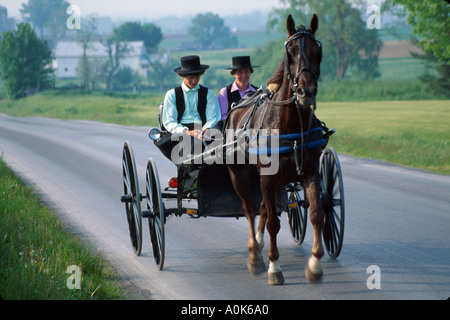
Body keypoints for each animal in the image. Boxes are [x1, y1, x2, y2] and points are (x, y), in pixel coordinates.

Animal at [227, 14, 326, 284]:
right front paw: (274, 267)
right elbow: (272, 222)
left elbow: (316, 213)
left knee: (262, 207)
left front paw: (314, 264)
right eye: (290, 53)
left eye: (317, 51)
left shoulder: (309, 173)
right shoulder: (268, 179)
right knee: (250, 209)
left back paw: (259, 245)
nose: (306, 91)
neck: (289, 124)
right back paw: (254, 254)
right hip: (239, 175)